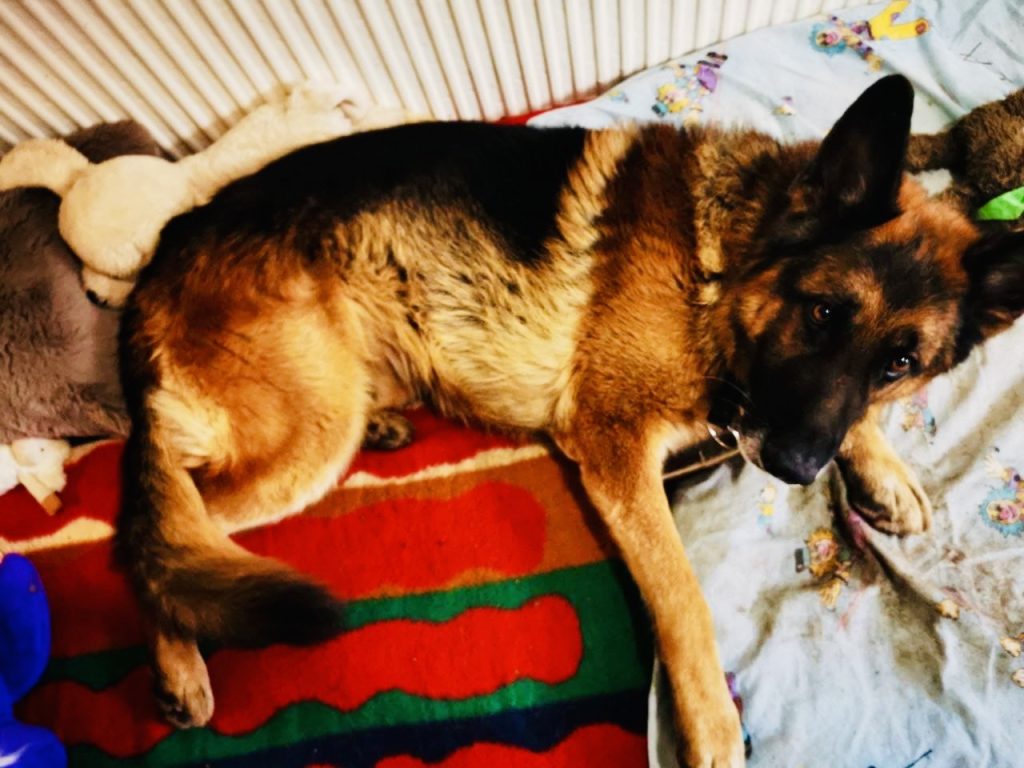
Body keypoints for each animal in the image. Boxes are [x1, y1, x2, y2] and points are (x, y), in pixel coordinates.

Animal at [116, 75, 1024, 767]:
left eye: (898, 365)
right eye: (825, 312)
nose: (797, 468)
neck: (722, 266)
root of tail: (167, 244)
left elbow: (853, 423)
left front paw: (883, 466)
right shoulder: (615, 450)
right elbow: (685, 602)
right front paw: (712, 730)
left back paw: (386, 424)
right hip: (307, 432)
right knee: (163, 529)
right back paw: (180, 660)